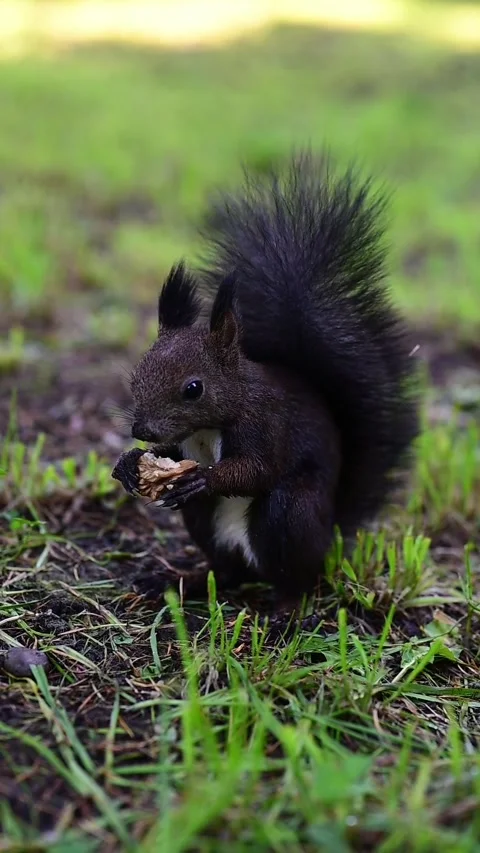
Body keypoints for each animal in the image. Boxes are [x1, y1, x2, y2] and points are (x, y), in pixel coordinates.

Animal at [113, 152, 419, 602]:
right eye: (137, 375)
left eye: (193, 388)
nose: (141, 429)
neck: (212, 425)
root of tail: (330, 534)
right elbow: (171, 453)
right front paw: (129, 462)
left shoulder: (266, 424)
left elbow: (257, 469)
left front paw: (204, 477)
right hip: (206, 525)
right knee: (227, 570)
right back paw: (188, 580)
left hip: (290, 513)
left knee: (297, 574)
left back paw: (285, 607)